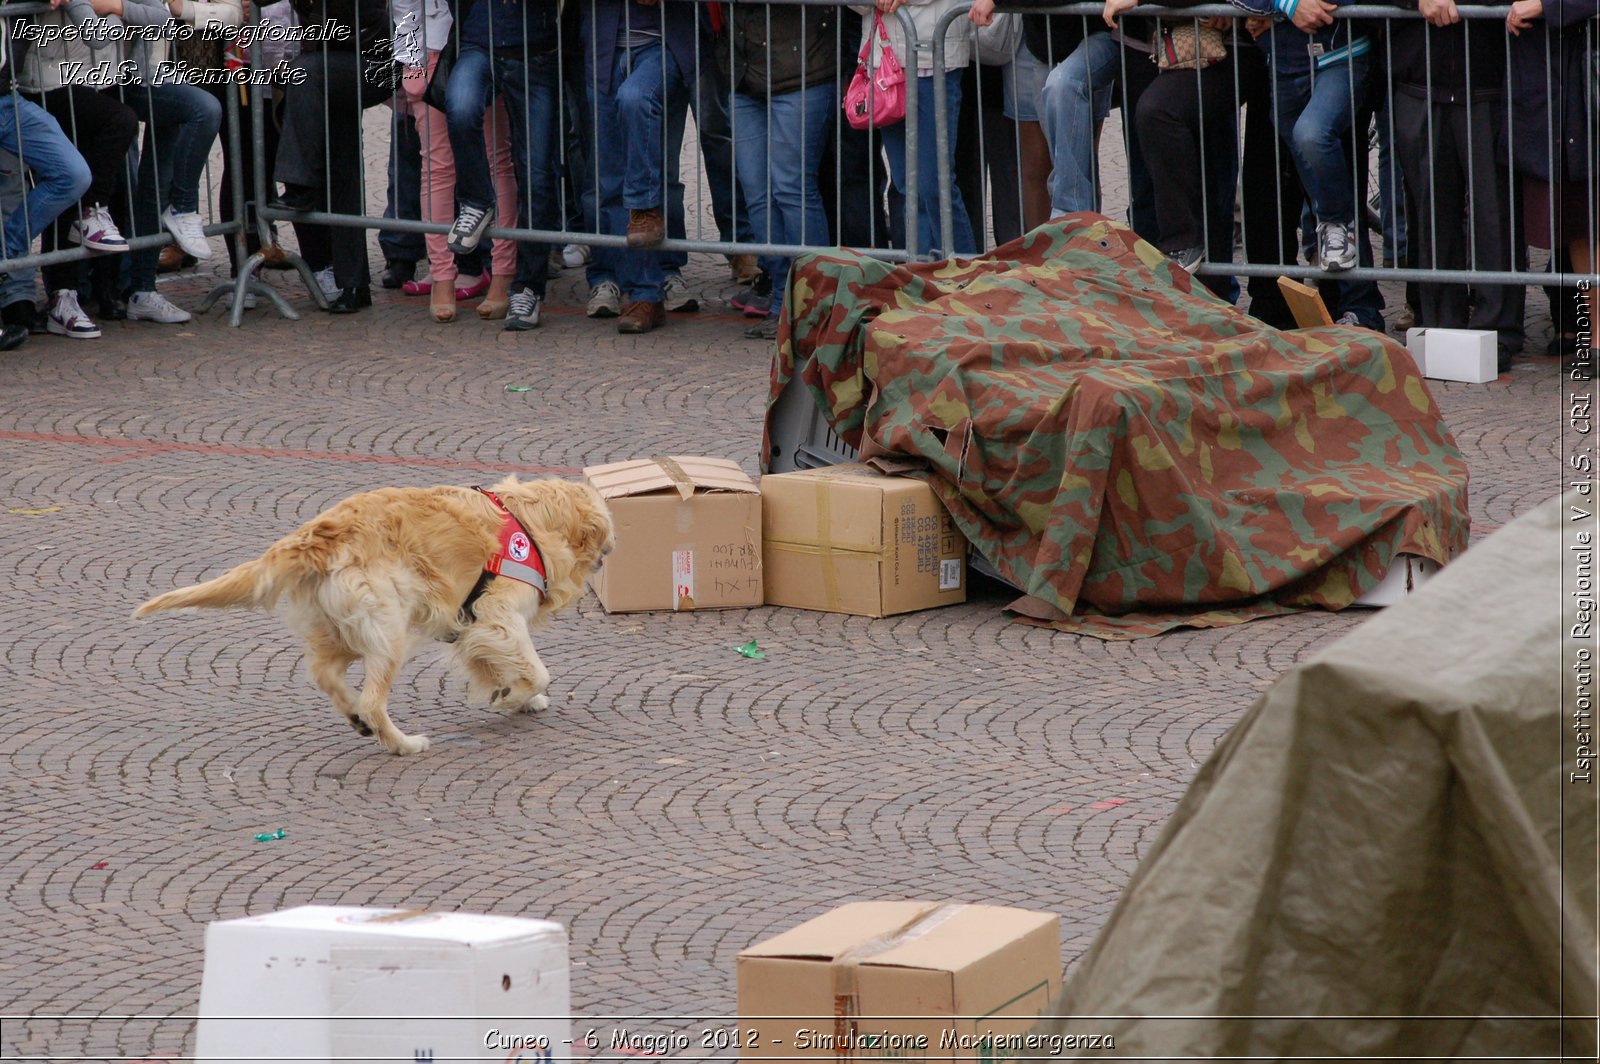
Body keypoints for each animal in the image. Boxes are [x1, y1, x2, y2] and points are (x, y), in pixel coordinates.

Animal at [132, 473, 611, 755]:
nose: (610, 553)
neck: (531, 521)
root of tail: (315, 536)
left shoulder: (472, 626)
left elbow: (499, 664)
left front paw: (516, 696)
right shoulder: (498, 612)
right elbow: (537, 669)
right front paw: (512, 696)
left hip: (341, 627)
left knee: (326, 676)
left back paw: (356, 719)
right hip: (389, 630)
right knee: (372, 699)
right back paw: (403, 743)